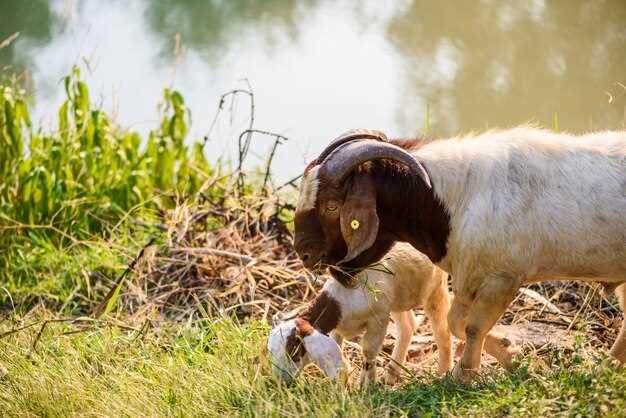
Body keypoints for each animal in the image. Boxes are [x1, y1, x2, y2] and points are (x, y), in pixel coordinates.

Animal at [266, 242, 450, 386]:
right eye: (271, 352)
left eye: (294, 352)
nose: (280, 382)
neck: (342, 297)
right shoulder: (338, 327)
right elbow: (337, 344)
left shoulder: (379, 318)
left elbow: (368, 351)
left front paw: (367, 385)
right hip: (399, 298)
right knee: (407, 327)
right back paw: (391, 375)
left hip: (435, 288)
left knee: (442, 330)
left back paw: (442, 373)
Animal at [292, 128, 624, 386]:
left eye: (332, 206)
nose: (303, 254)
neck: (454, 199)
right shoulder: (468, 275)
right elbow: (456, 322)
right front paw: (509, 354)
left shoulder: (502, 278)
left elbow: (472, 326)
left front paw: (465, 374)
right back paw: (606, 370)